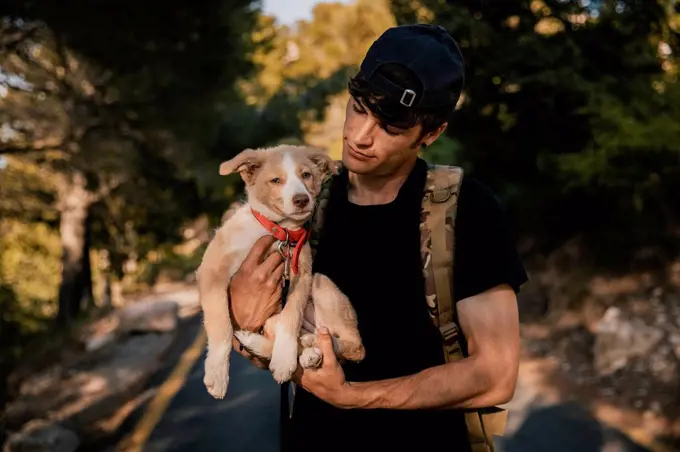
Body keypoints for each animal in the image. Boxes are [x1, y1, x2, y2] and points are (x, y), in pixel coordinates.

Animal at [197, 145, 366, 400]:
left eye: (306, 175)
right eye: (276, 180)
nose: (301, 199)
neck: (279, 232)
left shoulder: (302, 275)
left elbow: (291, 316)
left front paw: (284, 359)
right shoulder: (211, 272)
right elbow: (221, 324)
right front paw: (217, 374)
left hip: (321, 282)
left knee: (354, 345)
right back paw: (309, 350)